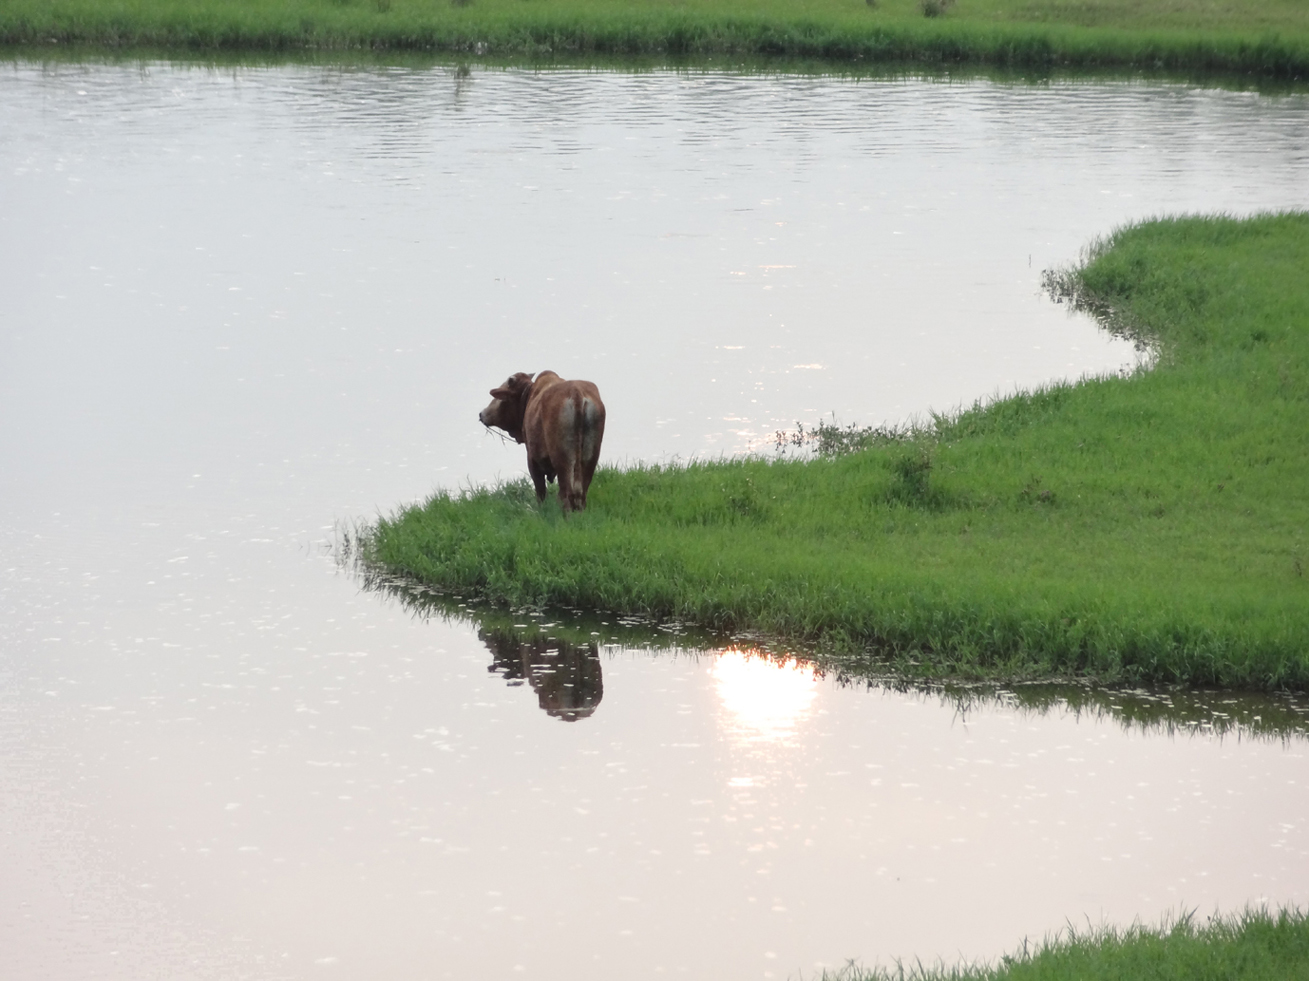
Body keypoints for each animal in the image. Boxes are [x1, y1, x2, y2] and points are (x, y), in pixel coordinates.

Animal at [479, 369, 604, 513]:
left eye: (499, 396)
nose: (481, 414)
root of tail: (576, 393)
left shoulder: (532, 459)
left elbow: (540, 492)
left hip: (562, 459)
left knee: (566, 494)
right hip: (590, 457)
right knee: (581, 493)